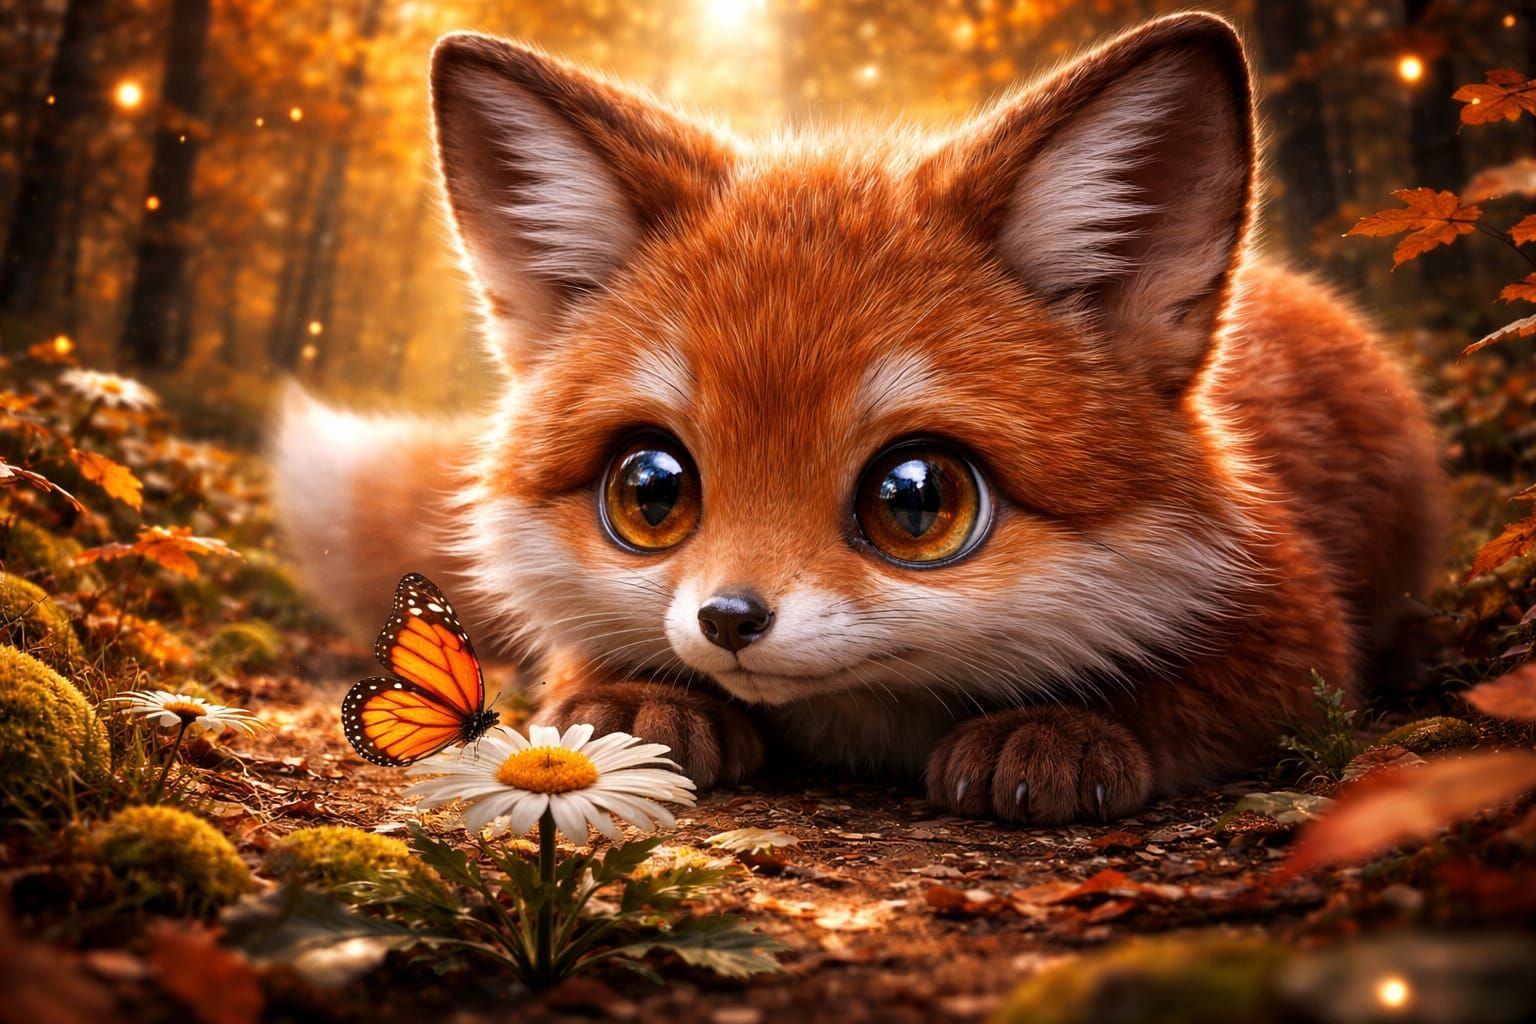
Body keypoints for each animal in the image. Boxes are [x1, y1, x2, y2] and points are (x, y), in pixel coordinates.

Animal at [275, 12, 1445, 824]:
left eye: (915, 500)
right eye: (650, 491)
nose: (729, 620)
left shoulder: (1296, 627)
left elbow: (1195, 691)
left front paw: (1067, 726)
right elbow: (581, 672)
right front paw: (627, 701)